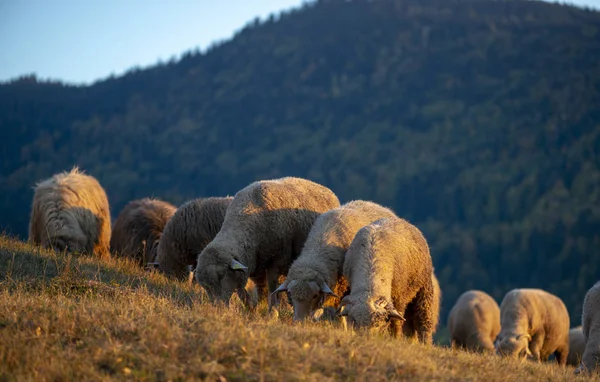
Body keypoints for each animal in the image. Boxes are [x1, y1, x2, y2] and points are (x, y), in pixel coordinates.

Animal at [195, 176, 340, 308]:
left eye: (222, 276)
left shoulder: (276, 261)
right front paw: (256, 309)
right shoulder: (254, 266)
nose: (218, 308)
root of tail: (325, 189)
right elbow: (258, 292)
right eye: (205, 286)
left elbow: (272, 288)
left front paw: (272, 312)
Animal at [338, 216, 436, 344]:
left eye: (377, 324)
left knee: (423, 318)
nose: (366, 339)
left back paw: (425, 342)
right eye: (354, 321)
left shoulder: (399, 297)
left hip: (424, 288)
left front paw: (395, 338)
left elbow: (396, 322)